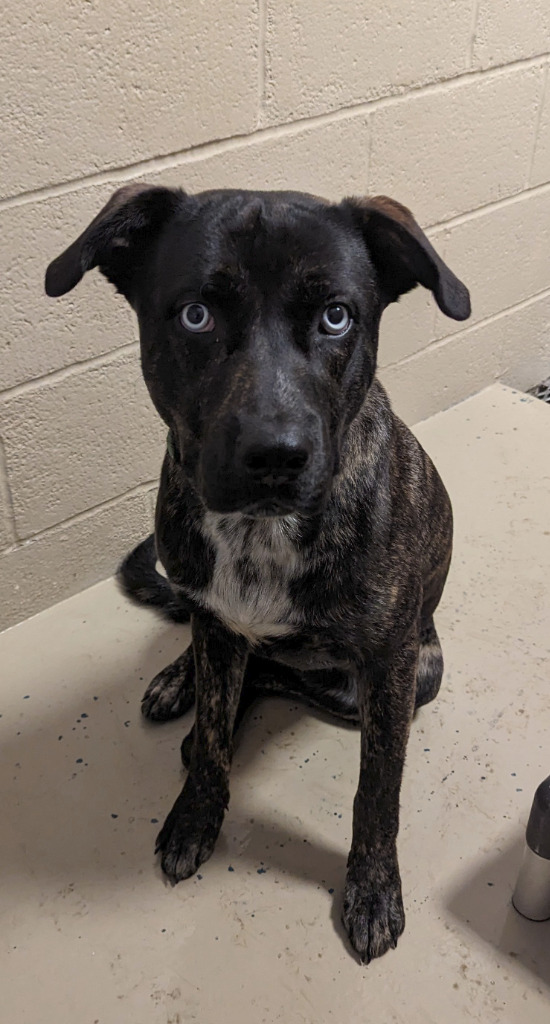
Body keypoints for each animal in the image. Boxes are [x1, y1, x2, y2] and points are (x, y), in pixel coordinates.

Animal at [45, 186, 469, 966]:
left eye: (336, 316)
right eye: (196, 314)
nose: (275, 455)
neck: (259, 534)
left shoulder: (392, 666)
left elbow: (378, 788)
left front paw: (372, 888)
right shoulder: (215, 621)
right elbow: (215, 734)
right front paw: (195, 816)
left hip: (415, 671)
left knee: (273, 674)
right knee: (234, 666)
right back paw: (180, 684)